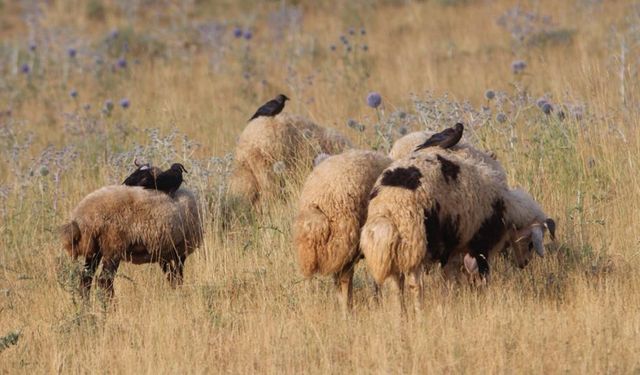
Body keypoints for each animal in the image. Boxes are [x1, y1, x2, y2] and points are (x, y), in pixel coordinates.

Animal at [59, 186, 201, 300]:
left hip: (95, 250)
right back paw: (111, 308)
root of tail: (82, 217)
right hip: (113, 247)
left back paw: (86, 307)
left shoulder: (164, 255)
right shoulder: (179, 254)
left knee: (86, 279)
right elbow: (178, 279)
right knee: (104, 281)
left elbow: (172, 278)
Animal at [360, 148, 556, 312]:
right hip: (415, 244)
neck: (507, 208)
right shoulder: (481, 246)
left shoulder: (453, 248)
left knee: (395, 288)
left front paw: (451, 302)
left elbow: (450, 279)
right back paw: (419, 314)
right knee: (415, 286)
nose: (524, 264)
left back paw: (400, 318)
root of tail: (388, 209)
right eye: (530, 243)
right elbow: (483, 277)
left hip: (392, 251)